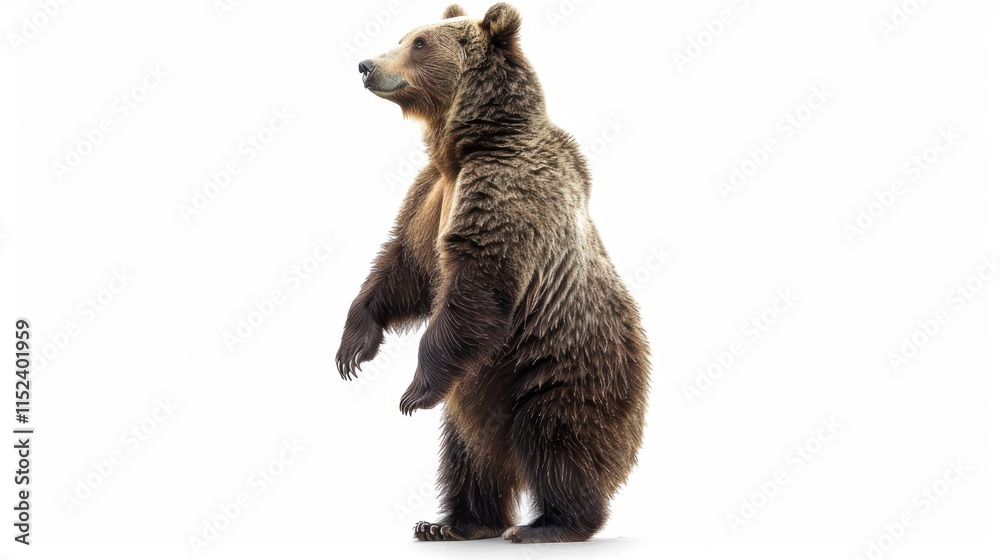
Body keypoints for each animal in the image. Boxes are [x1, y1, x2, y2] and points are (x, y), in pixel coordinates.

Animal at [336, 3, 651, 543]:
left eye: (419, 42)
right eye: (404, 34)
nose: (365, 65)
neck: (464, 145)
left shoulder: (503, 188)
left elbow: (479, 279)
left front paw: (413, 390)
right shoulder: (431, 194)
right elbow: (405, 266)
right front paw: (353, 347)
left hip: (562, 365)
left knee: (559, 437)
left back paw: (549, 524)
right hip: (478, 390)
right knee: (467, 453)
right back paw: (452, 522)